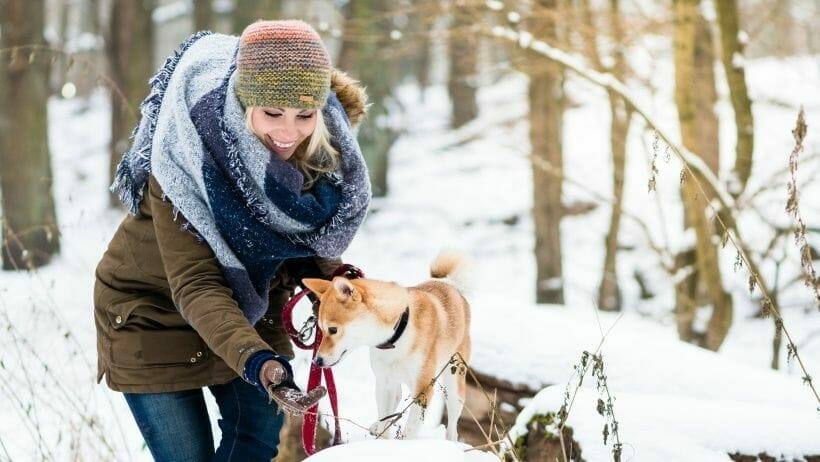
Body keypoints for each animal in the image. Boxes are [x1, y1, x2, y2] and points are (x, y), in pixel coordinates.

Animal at [302, 253, 470, 440]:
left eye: (333, 329)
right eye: (321, 329)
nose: (317, 361)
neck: (396, 335)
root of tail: (450, 285)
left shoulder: (422, 389)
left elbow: (410, 430)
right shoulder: (384, 383)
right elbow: (385, 421)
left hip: (454, 384)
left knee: (453, 425)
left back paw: (451, 441)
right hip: (390, 382)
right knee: (395, 400)